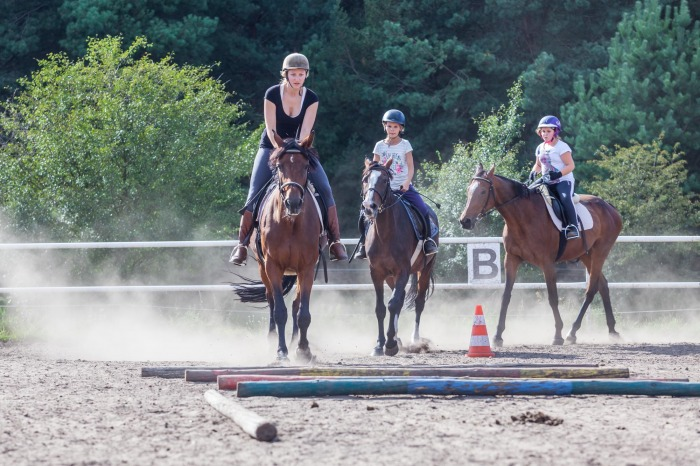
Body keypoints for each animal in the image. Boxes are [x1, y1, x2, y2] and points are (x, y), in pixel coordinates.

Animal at [235, 133, 322, 362]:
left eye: (306, 166)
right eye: (280, 166)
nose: (293, 202)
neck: (290, 222)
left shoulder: (307, 268)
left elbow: (303, 312)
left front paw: (303, 349)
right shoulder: (272, 265)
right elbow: (279, 310)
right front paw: (281, 351)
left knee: (296, 304)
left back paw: (294, 342)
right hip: (263, 267)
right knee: (272, 300)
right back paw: (273, 340)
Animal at [360, 158, 438, 354]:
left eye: (385, 180)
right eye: (365, 179)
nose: (369, 207)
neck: (385, 234)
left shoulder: (403, 270)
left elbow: (393, 304)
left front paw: (390, 344)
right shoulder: (377, 273)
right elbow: (381, 308)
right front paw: (379, 344)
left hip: (425, 269)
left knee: (418, 303)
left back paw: (414, 339)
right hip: (391, 277)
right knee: (399, 299)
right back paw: (397, 337)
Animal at [460, 164, 624, 346]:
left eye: (482, 191)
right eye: (468, 190)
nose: (465, 221)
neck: (522, 217)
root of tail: (609, 206)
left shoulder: (547, 264)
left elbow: (552, 298)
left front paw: (557, 334)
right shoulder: (511, 259)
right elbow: (506, 296)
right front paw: (497, 335)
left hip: (600, 252)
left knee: (591, 289)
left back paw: (572, 332)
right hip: (586, 255)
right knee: (602, 285)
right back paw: (612, 330)